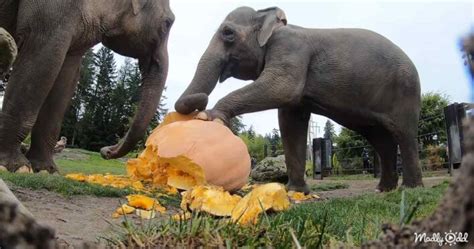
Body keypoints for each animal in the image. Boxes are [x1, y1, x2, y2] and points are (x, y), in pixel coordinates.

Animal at [0, 0, 174, 173]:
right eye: (168, 23)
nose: (105, 151)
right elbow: (42, 57)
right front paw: (16, 166)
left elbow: (66, 76)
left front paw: (46, 170)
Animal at [176, 5, 424, 193]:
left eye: (228, 32)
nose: (202, 102)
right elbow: (290, 119)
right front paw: (294, 192)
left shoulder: (290, 50)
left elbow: (281, 88)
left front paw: (210, 116)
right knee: (381, 140)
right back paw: (383, 189)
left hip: (405, 92)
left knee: (404, 135)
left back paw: (410, 189)